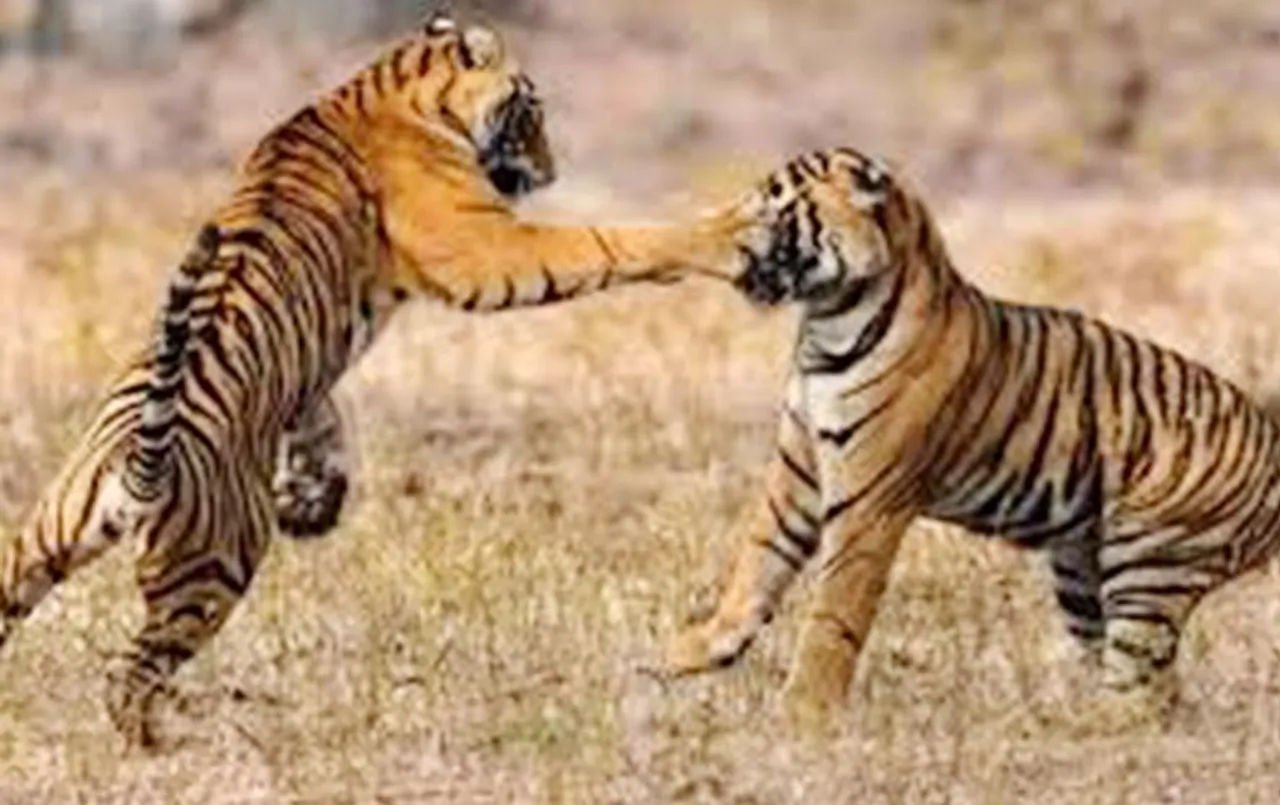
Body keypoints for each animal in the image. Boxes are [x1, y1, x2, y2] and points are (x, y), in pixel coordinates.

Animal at [0, 11, 747, 748]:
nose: (551, 172)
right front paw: (718, 238)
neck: (391, 85)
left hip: (44, 537)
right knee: (128, 674)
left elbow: (320, 417)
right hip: (212, 568)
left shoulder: (312, 368)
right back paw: (163, 740)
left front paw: (313, 498)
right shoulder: (482, 249)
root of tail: (138, 469)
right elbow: (602, 241)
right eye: (532, 112)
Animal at [663, 146, 1280, 735]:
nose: (722, 240)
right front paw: (691, 651)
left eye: (774, 209)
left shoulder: (869, 502)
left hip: (1149, 560)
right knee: (1155, 688)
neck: (826, 324)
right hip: (1083, 570)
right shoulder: (798, 471)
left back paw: (1054, 724)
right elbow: (757, 561)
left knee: (1141, 697)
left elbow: (832, 614)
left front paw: (803, 712)